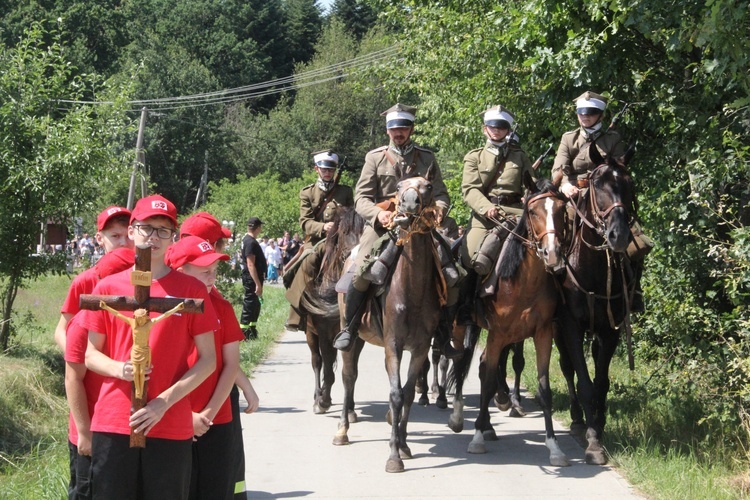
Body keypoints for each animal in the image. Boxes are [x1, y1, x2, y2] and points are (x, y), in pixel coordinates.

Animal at [302, 207, 368, 414]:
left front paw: (351, 408)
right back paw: (318, 396)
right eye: (344, 232)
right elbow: (328, 368)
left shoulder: (356, 338)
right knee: (317, 362)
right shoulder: (324, 334)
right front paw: (323, 401)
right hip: (310, 334)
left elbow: (352, 371)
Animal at [332, 173, 444, 472]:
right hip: (351, 338)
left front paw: (403, 445)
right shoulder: (393, 345)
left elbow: (407, 394)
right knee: (348, 377)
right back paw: (342, 430)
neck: (412, 290)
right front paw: (394, 456)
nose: (409, 203)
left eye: (428, 186)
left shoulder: (419, 349)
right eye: (399, 186)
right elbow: (395, 394)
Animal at [458, 179, 568, 464]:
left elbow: (543, 389)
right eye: (532, 212)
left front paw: (554, 447)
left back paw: (489, 423)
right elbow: (486, 382)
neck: (523, 281)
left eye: (562, 209)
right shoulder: (498, 334)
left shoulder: (542, 334)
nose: (552, 254)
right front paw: (476, 439)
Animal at [556, 149, 636, 464]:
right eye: (597, 184)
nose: (619, 235)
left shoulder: (610, 330)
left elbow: (601, 383)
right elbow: (584, 383)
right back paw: (578, 421)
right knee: (567, 368)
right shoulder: (570, 327)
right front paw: (591, 440)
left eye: (629, 184)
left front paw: (599, 429)